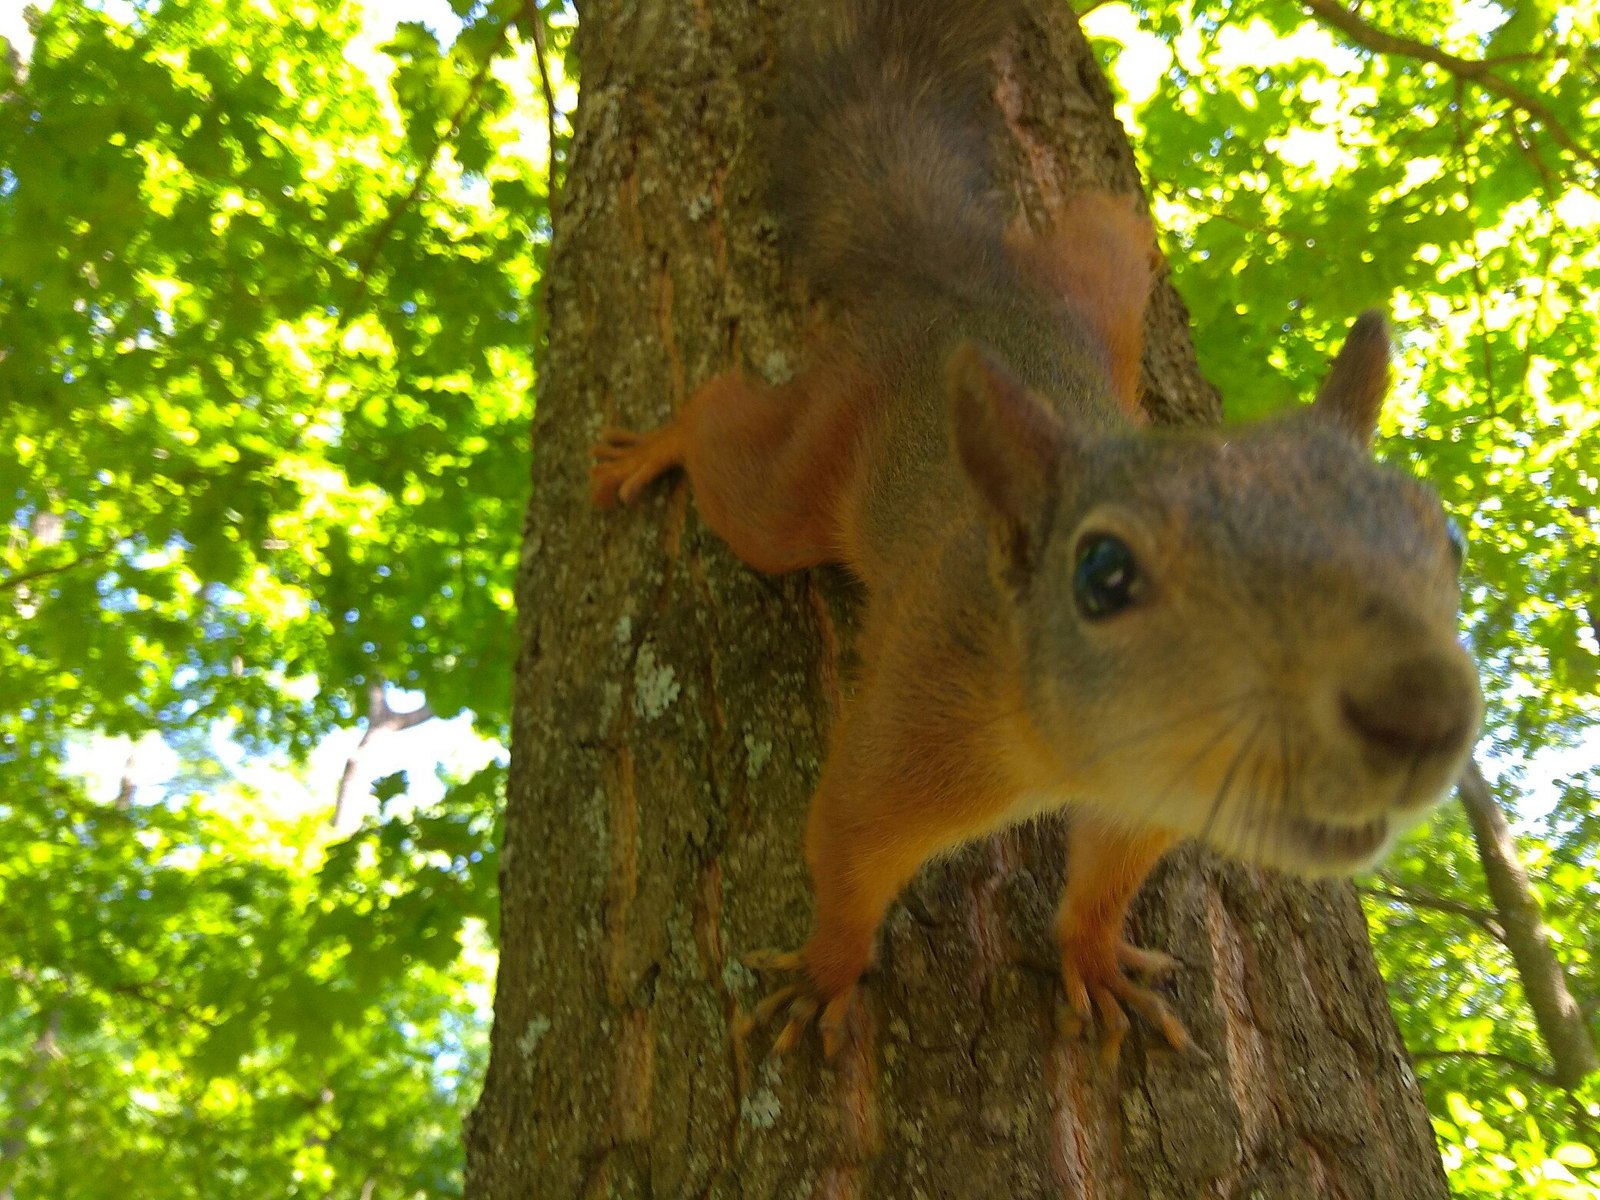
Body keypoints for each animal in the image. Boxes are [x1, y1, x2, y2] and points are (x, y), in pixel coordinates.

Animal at [588, 0, 1484, 1062]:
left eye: (1449, 541)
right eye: (1102, 575)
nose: (1421, 712)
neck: (1072, 752)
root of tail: (949, 284)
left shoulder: (1147, 807)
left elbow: (1102, 888)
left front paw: (1093, 960)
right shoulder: (912, 729)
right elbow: (845, 856)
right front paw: (823, 976)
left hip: (1103, 276)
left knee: (1104, 225)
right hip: (803, 472)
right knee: (729, 438)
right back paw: (662, 442)